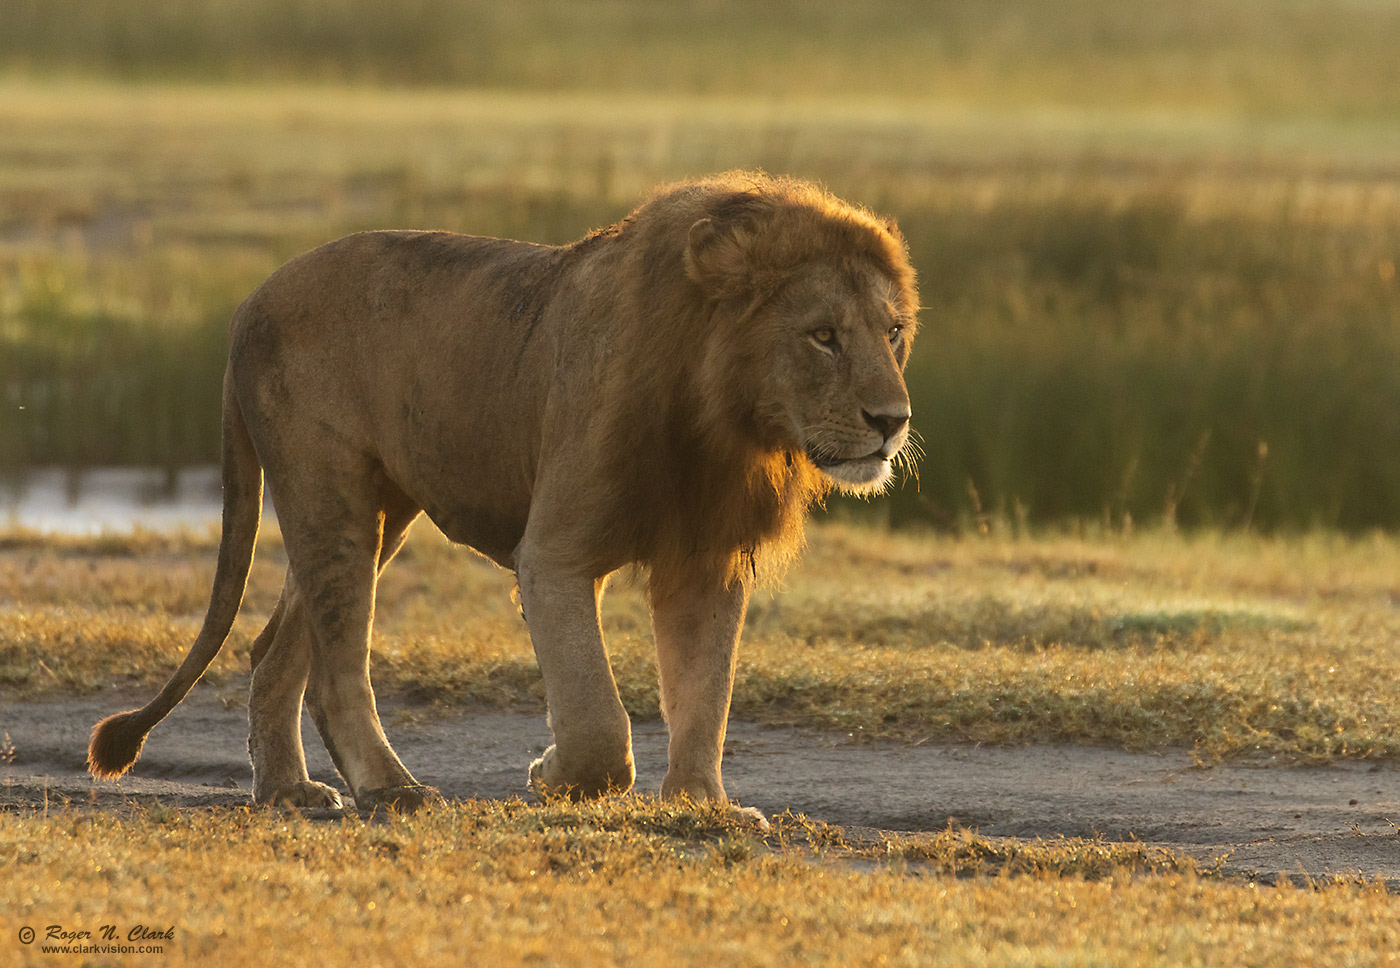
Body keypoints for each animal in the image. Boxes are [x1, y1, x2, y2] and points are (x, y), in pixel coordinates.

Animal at [87, 170, 918, 812]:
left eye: (893, 332)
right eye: (823, 336)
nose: (893, 421)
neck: (726, 423)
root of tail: (249, 302)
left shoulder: (706, 556)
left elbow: (703, 692)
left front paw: (701, 806)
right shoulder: (553, 553)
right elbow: (596, 720)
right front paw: (552, 775)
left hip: (379, 511)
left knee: (275, 650)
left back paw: (290, 792)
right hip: (332, 494)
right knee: (333, 668)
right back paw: (391, 790)